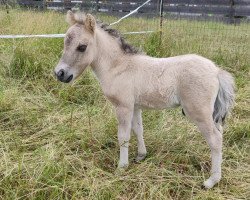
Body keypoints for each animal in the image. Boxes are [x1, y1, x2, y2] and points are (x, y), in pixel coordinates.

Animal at [53, 10, 235, 189]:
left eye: (82, 47)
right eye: (65, 42)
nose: (60, 74)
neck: (118, 67)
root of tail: (216, 71)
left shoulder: (123, 107)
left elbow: (123, 135)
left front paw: (121, 167)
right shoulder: (135, 106)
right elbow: (138, 129)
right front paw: (141, 156)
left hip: (199, 112)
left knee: (215, 139)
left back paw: (211, 181)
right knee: (220, 133)